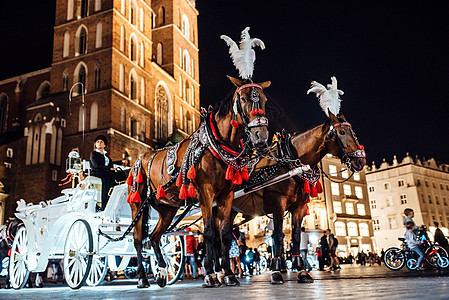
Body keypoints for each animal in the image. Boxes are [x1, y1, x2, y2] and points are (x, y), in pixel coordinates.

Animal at [127, 76, 270, 288]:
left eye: (265, 99)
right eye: (243, 99)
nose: (261, 135)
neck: (215, 145)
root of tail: (140, 158)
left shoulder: (226, 196)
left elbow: (224, 234)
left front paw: (228, 274)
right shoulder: (205, 192)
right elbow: (209, 232)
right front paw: (210, 274)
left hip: (167, 209)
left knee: (154, 237)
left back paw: (161, 273)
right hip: (137, 204)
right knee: (137, 239)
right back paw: (143, 278)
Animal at [231, 110, 364, 284]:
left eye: (352, 132)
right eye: (341, 132)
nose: (361, 161)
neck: (289, 164)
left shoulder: (299, 207)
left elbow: (295, 236)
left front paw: (301, 270)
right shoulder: (278, 205)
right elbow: (278, 236)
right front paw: (276, 271)